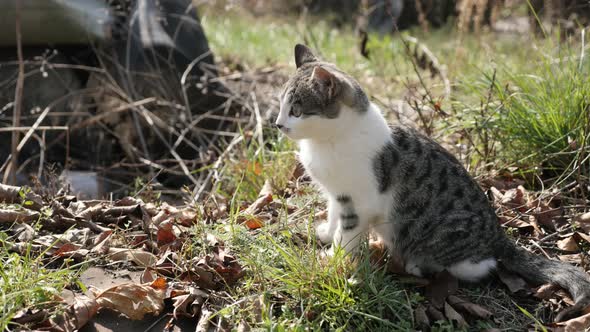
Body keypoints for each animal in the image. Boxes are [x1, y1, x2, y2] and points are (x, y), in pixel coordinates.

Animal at [276, 42, 590, 320]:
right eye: (280, 106)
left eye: (296, 110)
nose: (278, 125)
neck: (328, 141)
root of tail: (499, 235)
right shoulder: (337, 193)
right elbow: (333, 215)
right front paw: (327, 234)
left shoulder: (359, 202)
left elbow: (348, 234)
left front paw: (333, 257)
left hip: (450, 241)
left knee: (482, 266)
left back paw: (419, 265)